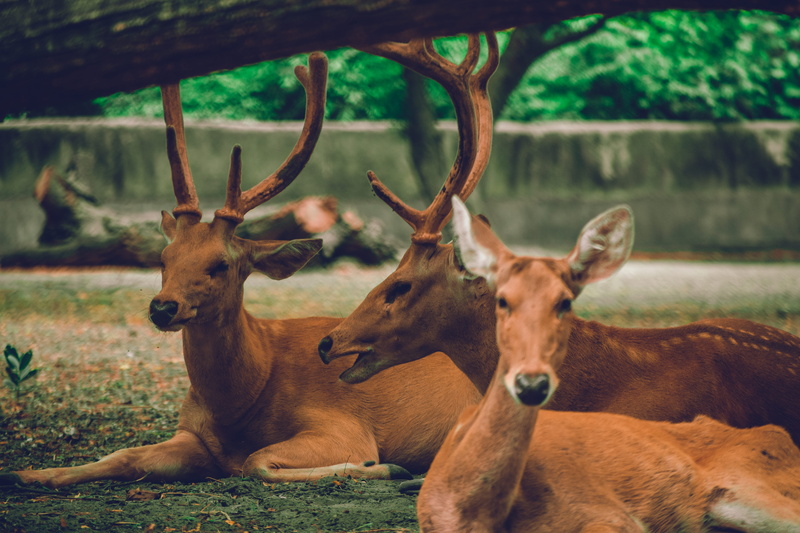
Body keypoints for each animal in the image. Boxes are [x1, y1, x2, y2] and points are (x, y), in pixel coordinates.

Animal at [0, 52, 481, 489]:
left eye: (222, 263)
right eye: (163, 258)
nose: (162, 308)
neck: (244, 401)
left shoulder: (343, 423)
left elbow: (258, 461)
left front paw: (384, 467)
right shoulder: (191, 433)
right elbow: (123, 455)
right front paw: (24, 474)